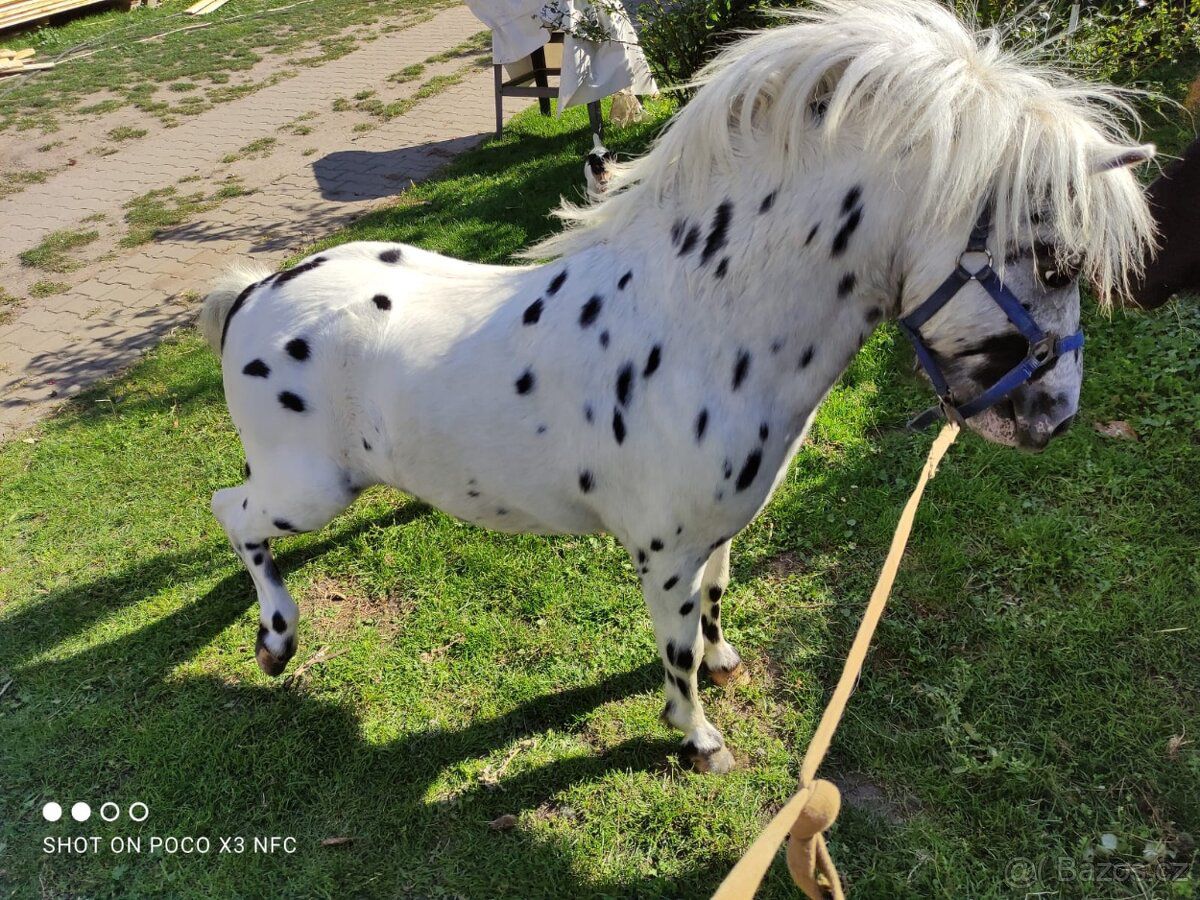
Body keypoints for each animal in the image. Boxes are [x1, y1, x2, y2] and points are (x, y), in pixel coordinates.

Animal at [199, 0, 1154, 773]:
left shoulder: (716, 536)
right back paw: (276, 640)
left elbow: (717, 609)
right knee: (233, 512)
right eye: (1056, 260)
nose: (1054, 418)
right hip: (309, 489)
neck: (704, 326)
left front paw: (727, 666)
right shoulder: (663, 555)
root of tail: (249, 295)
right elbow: (677, 655)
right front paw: (698, 740)